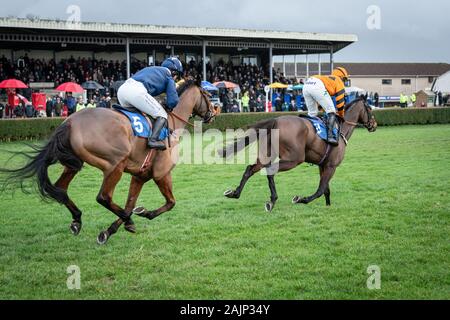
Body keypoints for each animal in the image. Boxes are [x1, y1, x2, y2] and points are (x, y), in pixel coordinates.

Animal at [1, 80, 216, 245]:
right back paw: (125, 220)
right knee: (103, 197)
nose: (214, 113)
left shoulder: (140, 176)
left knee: (61, 189)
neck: (170, 123)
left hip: (74, 163)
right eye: (207, 94)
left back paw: (77, 219)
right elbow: (170, 202)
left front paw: (110, 230)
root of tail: (69, 122)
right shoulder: (161, 173)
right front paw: (141, 215)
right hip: (115, 165)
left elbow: (130, 203)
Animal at [221, 97, 376, 212]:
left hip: (267, 155)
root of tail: (276, 121)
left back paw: (235, 193)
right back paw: (272, 201)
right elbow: (320, 190)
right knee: (270, 170)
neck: (340, 129)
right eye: (369, 108)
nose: (374, 124)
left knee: (250, 169)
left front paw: (328, 206)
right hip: (294, 159)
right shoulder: (332, 166)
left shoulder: (323, 165)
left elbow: (326, 189)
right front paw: (301, 199)